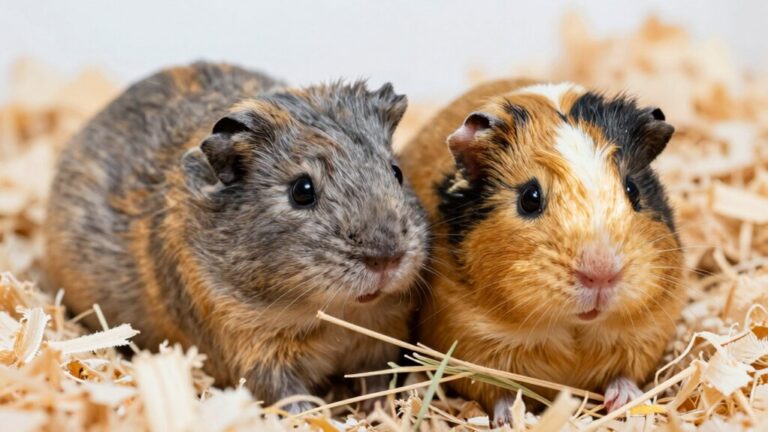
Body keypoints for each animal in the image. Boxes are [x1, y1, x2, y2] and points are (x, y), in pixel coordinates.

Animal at [45, 62, 428, 412]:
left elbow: (378, 381)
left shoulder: (380, 338)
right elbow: (292, 400)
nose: (387, 259)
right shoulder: (254, 354)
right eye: (302, 190)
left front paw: (379, 411)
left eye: (396, 172)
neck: (334, 316)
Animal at [398, 79, 683, 424]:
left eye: (633, 190)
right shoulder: (468, 340)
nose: (601, 274)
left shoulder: (648, 332)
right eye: (529, 198)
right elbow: (498, 393)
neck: (572, 329)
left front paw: (623, 403)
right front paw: (511, 420)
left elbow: (625, 375)